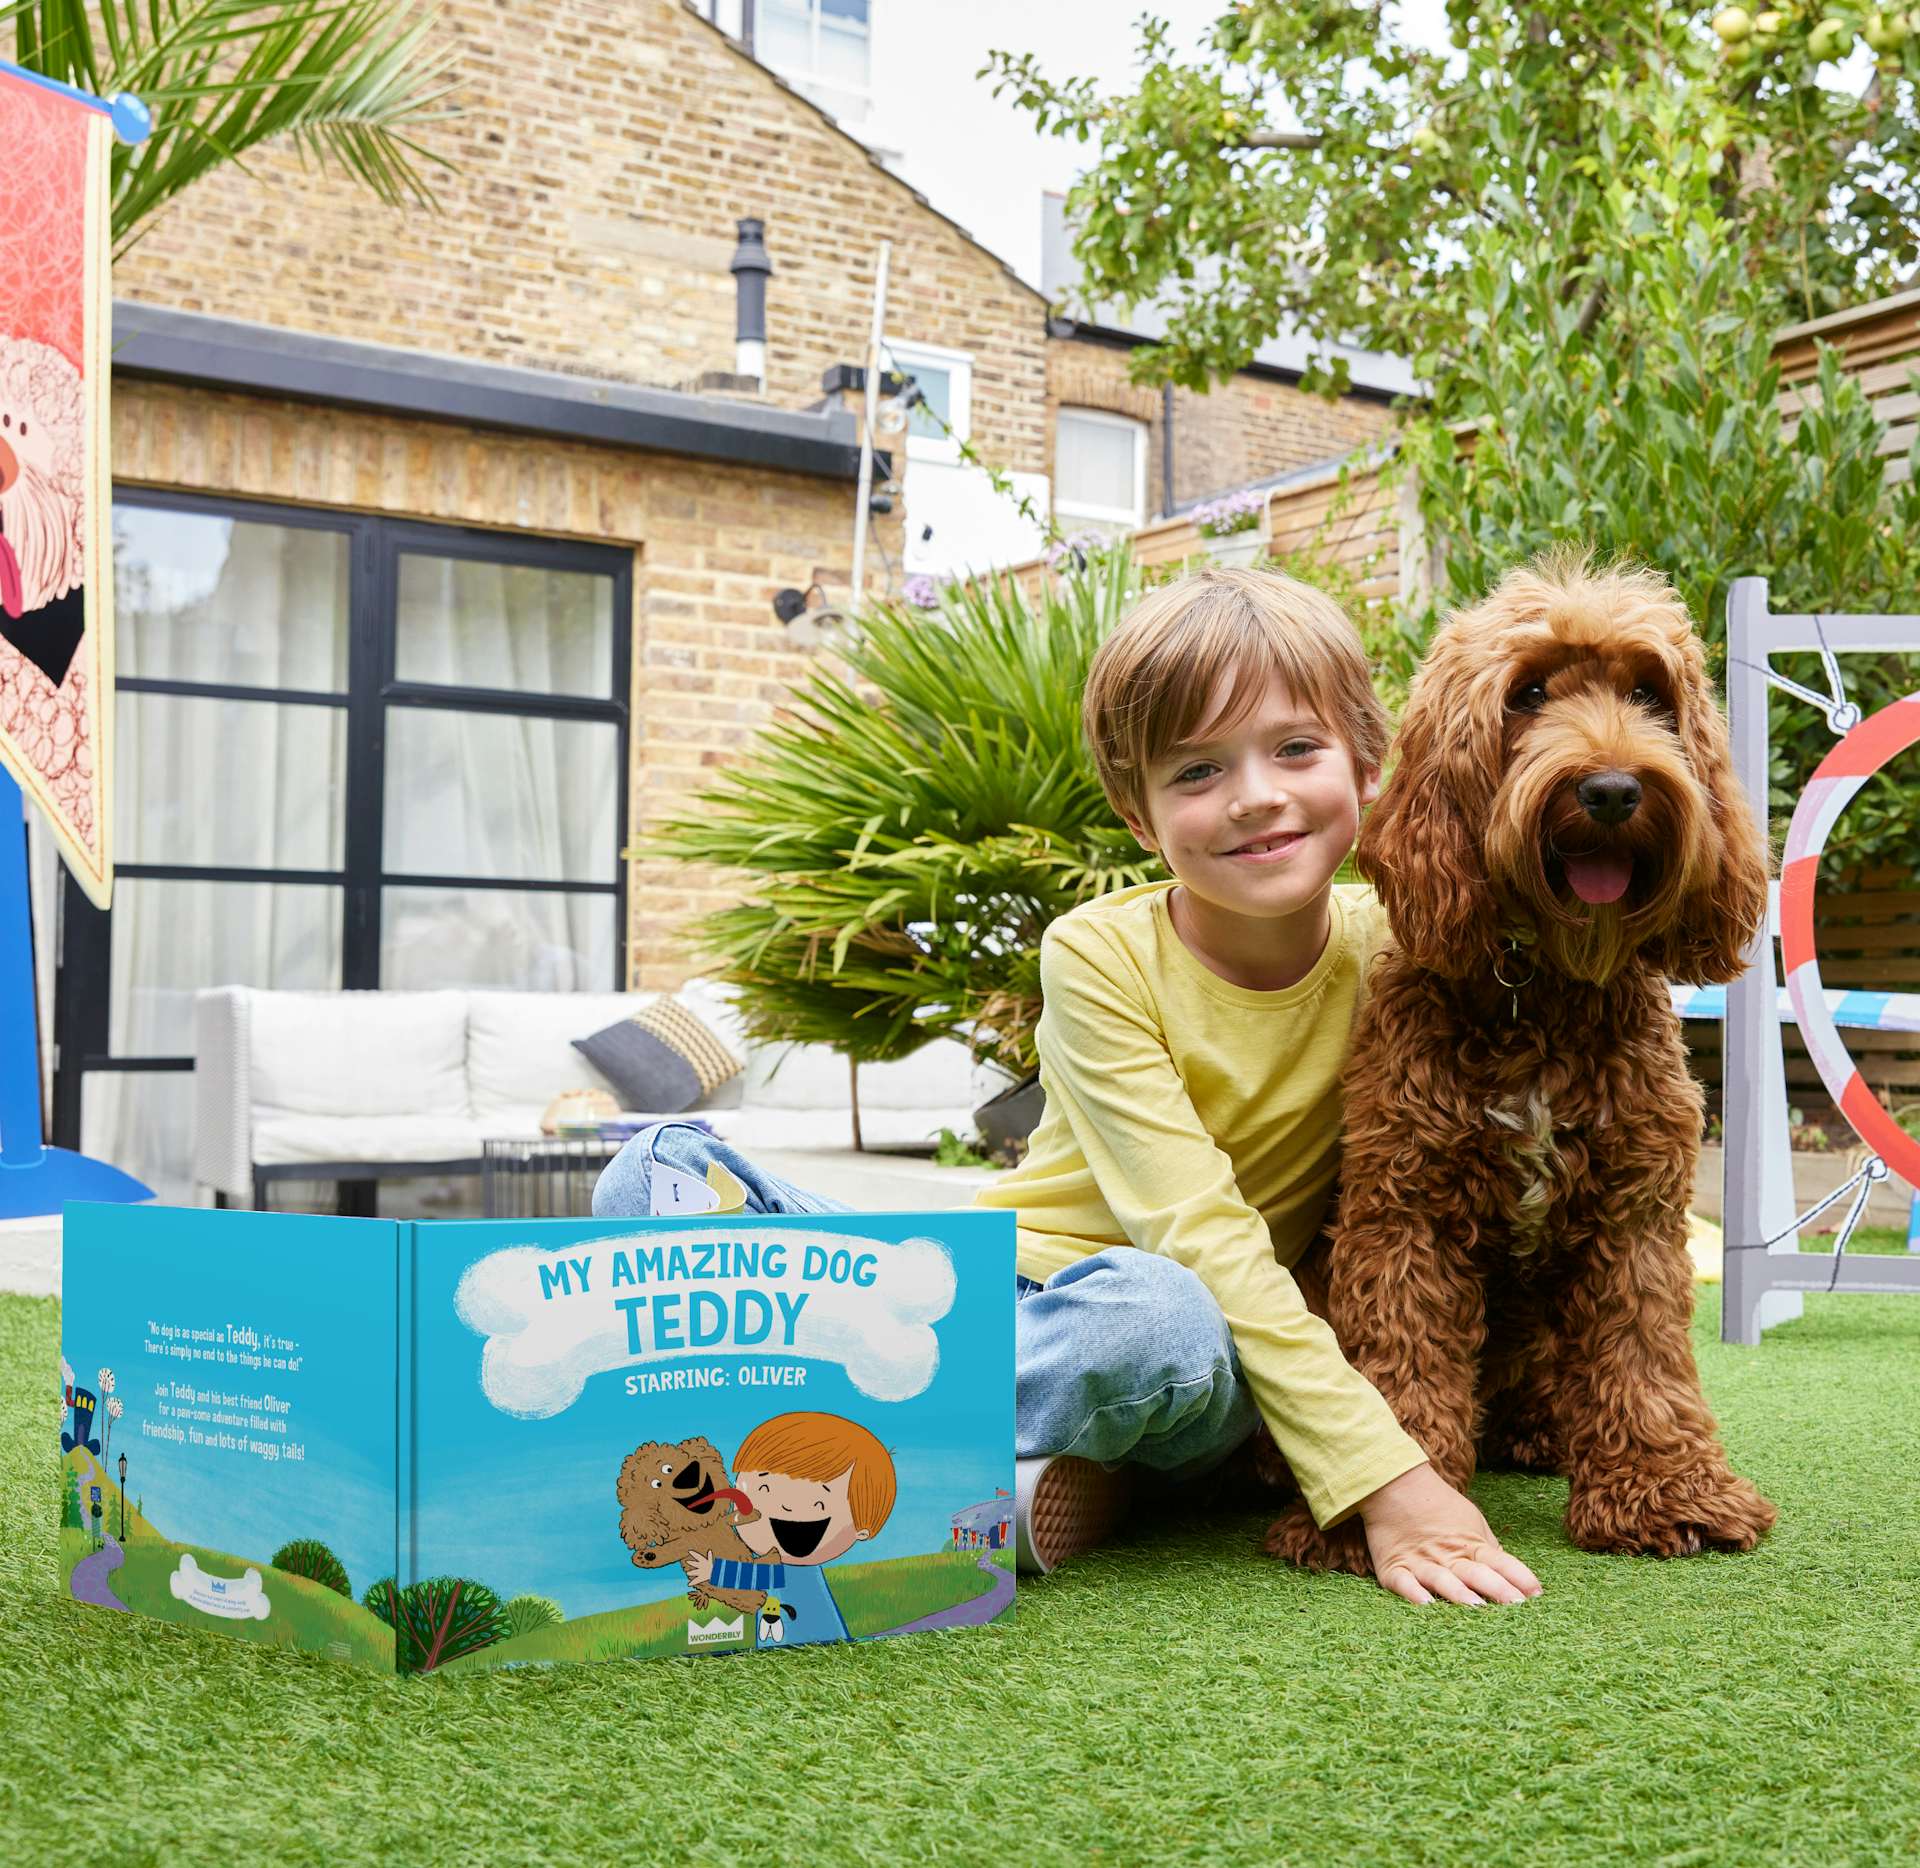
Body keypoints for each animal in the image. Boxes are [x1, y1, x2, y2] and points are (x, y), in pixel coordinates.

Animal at [614, 1436, 764, 1612]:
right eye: (656, 1484)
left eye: (668, 1468)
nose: (687, 1477)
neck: (699, 1527)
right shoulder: (684, 1545)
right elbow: (667, 1552)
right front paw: (645, 1557)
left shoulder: (722, 1523)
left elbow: (736, 1517)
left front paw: (756, 1513)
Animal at [1267, 552, 1774, 1574]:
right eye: (1528, 694)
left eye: (1650, 694)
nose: (1613, 789)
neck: (1538, 993)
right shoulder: (1404, 1211)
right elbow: (1397, 1359)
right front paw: (1383, 1514)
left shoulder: (1635, 1213)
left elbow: (1644, 1354)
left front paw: (1667, 1492)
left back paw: (1546, 1431)